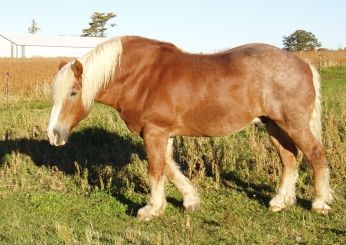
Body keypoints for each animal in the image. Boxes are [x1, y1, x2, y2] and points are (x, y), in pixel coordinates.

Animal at [46, 35, 332, 221]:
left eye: (73, 92)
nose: (53, 134)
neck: (141, 77)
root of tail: (303, 64)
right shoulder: (162, 133)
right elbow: (170, 169)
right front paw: (190, 200)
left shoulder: (155, 132)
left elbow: (155, 170)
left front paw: (151, 209)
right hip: (273, 125)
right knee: (289, 158)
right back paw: (280, 202)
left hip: (293, 124)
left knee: (315, 155)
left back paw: (319, 203)